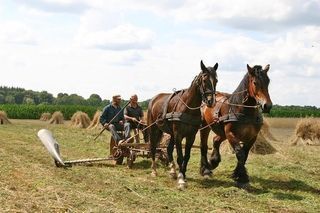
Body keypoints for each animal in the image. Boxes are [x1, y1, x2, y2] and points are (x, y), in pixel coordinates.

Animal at [147, 60, 218, 189]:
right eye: (204, 80)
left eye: (216, 80)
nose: (211, 101)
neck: (187, 106)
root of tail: (154, 99)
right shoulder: (179, 135)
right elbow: (180, 157)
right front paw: (181, 179)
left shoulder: (191, 136)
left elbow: (187, 156)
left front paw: (183, 174)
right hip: (154, 129)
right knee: (153, 147)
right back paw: (154, 170)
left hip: (171, 133)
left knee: (169, 149)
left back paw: (173, 171)